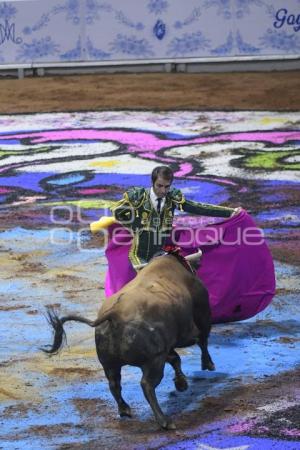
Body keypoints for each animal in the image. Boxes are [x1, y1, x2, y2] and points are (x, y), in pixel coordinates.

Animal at [42, 251, 216, 430]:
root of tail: (115, 314)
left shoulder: (164, 348)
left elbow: (176, 358)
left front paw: (181, 383)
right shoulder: (195, 325)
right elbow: (200, 341)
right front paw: (207, 365)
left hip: (110, 363)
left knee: (114, 383)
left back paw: (125, 410)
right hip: (153, 362)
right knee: (147, 385)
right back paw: (164, 420)